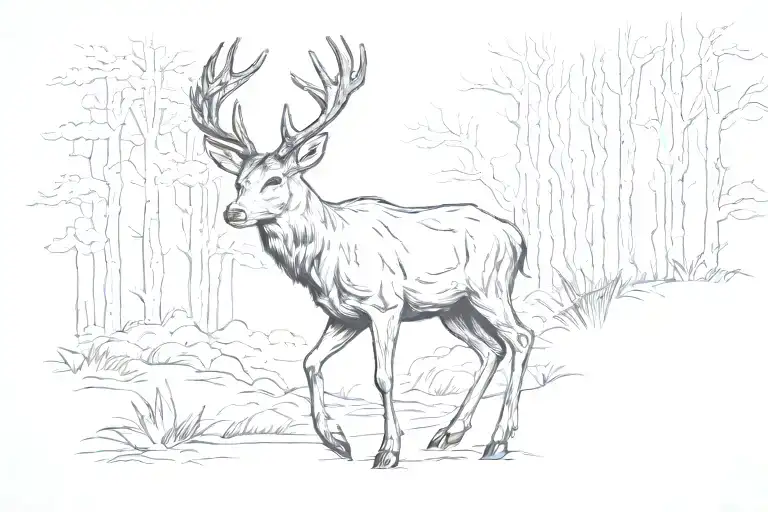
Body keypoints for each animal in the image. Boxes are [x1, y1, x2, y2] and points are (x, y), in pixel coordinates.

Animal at [189, 36, 535, 469]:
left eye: (275, 179)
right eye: (239, 181)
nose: (233, 212)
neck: (328, 251)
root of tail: (517, 237)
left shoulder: (385, 305)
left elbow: (383, 376)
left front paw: (388, 451)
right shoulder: (343, 315)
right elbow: (310, 361)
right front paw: (336, 440)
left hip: (490, 288)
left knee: (521, 337)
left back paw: (498, 440)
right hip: (453, 308)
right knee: (491, 349)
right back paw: (449, 433)